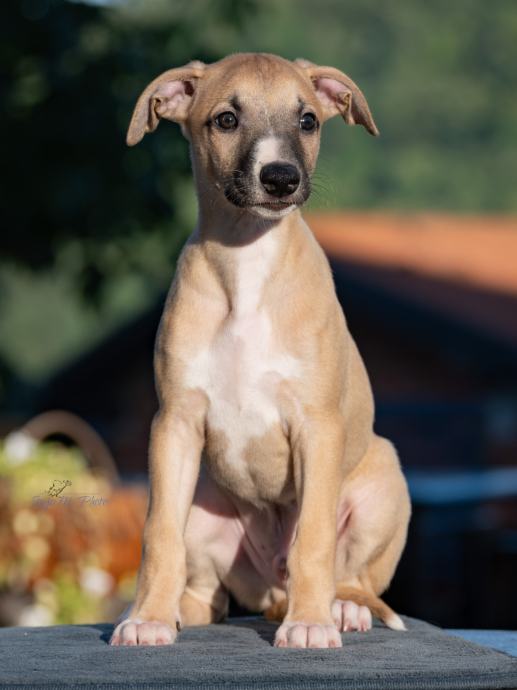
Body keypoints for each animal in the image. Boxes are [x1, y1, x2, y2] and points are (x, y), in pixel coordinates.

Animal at [110, 53, 410, 650]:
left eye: (308, 121)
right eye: (226, 120)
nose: (280, 178)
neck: (247, 259)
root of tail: (272, 591)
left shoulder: (318, 425)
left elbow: (313, 537)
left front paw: (311, 623)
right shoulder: (174, 423)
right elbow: (158, 535)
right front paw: (148, 617)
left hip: (384, 481)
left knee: (354, 577)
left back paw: (341, 608)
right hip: (204, 504)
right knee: (211, 594)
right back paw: (179, 610)